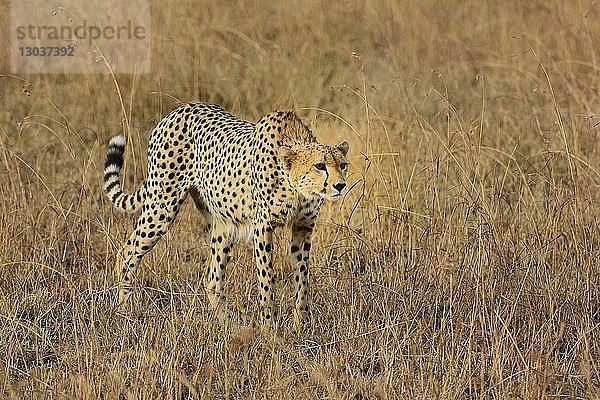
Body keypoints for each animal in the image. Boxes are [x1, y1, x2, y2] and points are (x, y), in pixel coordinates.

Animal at [102, 103, 346, 332]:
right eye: (320, 166)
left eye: (343, 165)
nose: (341, 185)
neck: (297, 189)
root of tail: (179, 109)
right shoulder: (263, 227)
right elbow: (267, 279)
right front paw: (270, 328)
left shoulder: (303, 227)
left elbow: (302, 278)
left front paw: (302, 325)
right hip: (162, 206)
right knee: (127, 252)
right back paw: (123, 309)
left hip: (223, 225)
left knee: (212, 278)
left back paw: (229, 325)